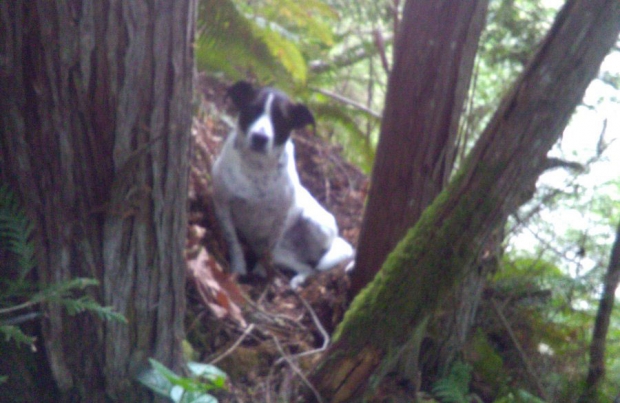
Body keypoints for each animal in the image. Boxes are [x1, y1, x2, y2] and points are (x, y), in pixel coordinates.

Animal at [211, 80, 354, 288]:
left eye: (281, 119)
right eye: (252, 109)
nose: (260, 137)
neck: (257, 168)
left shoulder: (281, 218)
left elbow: (267, 251)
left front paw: (260, 273)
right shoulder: (222, 205)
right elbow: (233, 242)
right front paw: (239, 269)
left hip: (314, 223)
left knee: (313, 265)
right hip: (283, 254)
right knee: (306, 267)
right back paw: (296, 280)